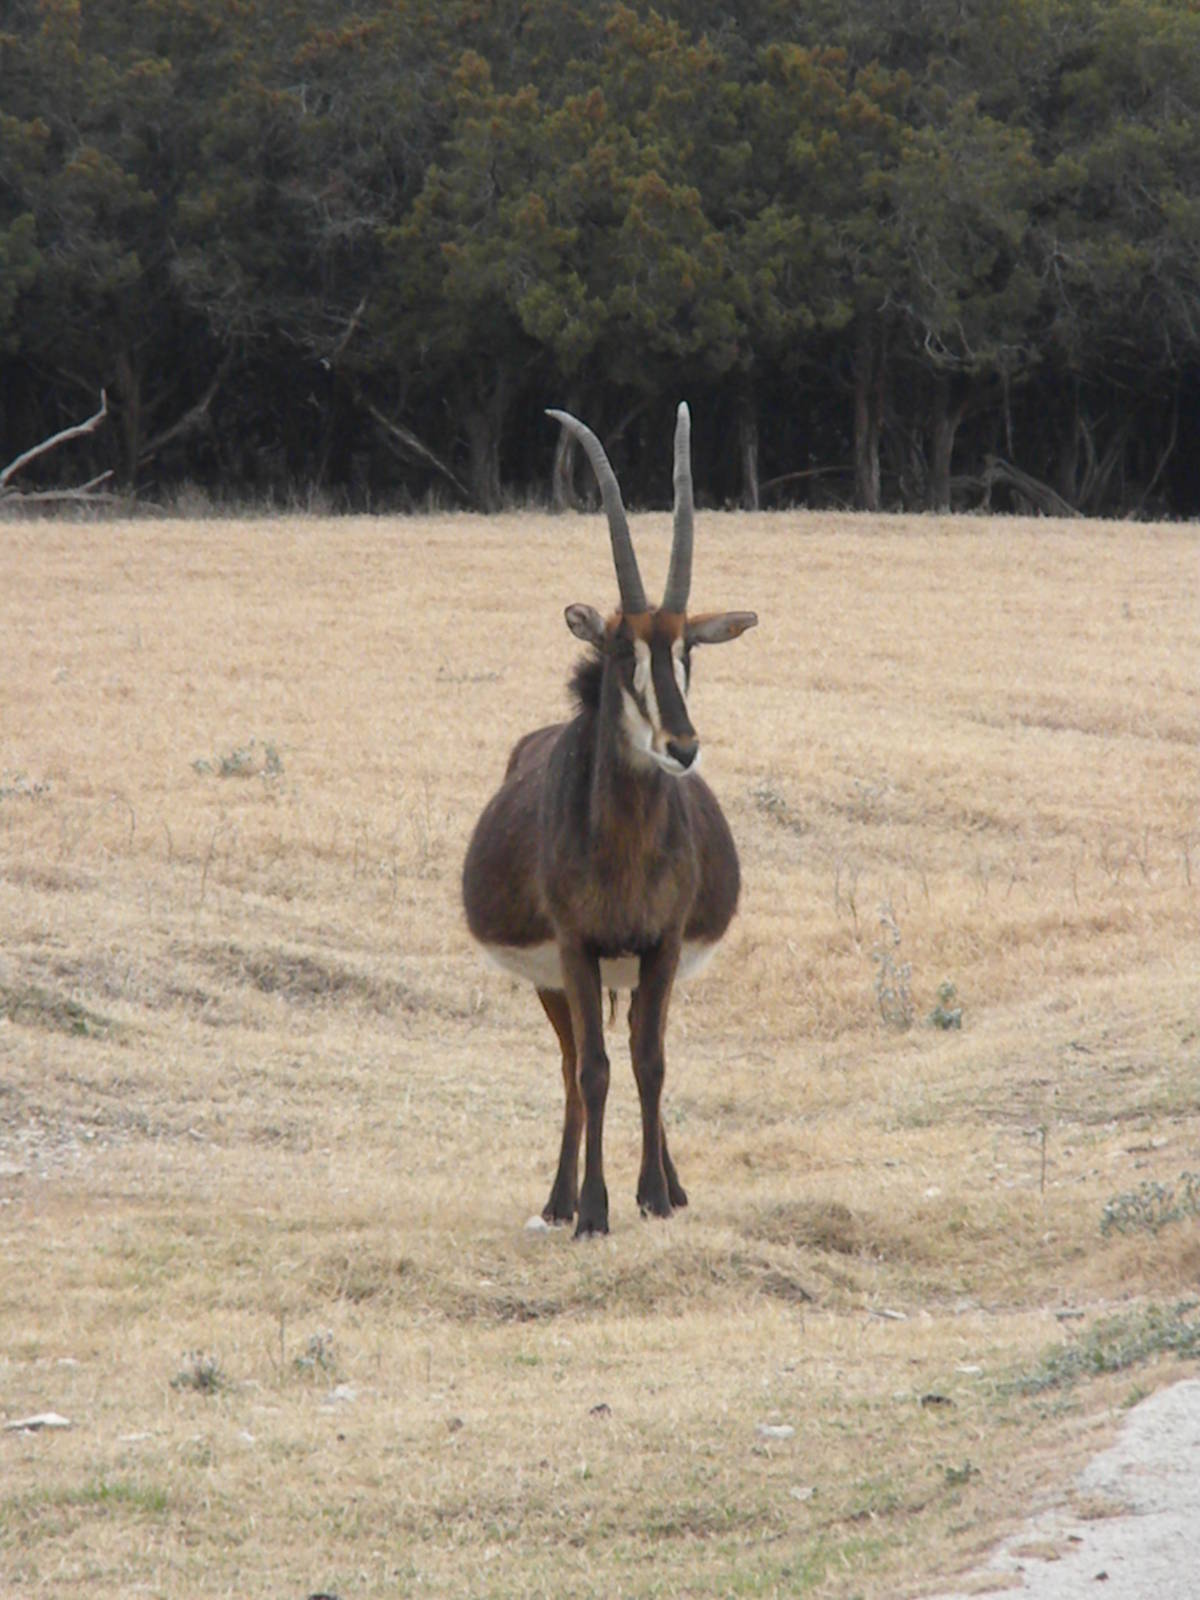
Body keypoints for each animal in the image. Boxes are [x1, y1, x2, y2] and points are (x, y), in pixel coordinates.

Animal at [461, 404, 756, 1237]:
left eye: (688, 649)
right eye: (623, 648)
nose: (681, 748)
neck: (622, 848)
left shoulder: (660, 945)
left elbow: (650, 1062)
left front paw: (654, 1194)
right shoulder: (575, 948)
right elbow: (592, 1071)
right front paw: (593, 1210)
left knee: (633, 1046)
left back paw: (667, 1184)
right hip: (556, 982)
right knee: (572, 1064)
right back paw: (558, 1200)